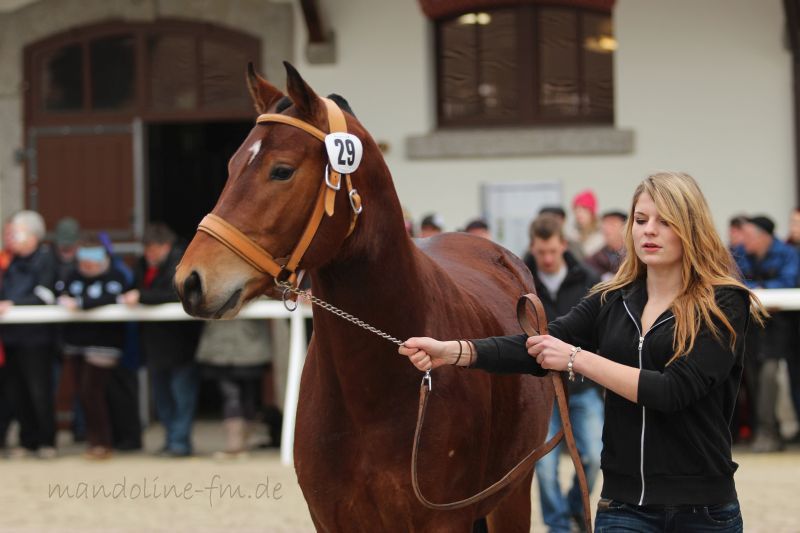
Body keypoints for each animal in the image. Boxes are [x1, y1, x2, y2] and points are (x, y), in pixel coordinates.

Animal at [173, 64, 556, 528]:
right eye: (231, 166)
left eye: (281, 170)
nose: (191, 280)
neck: (371, 395)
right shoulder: (329, 519)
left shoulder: (445, 520)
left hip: (511, 496)